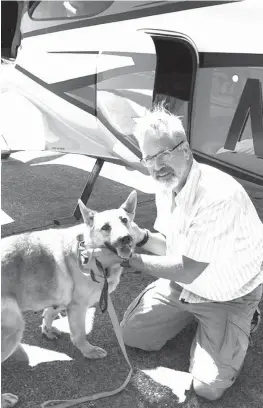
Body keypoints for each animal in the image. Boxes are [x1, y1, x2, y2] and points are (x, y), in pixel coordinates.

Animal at [1, 191, 140, 408]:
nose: (125, 239)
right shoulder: (78, 307)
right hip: (12, 326)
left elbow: (49, 312)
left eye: (125, 220)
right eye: (105, 227)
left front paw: (47, 330)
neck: (89, 252)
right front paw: (88, 351)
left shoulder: (60, 299)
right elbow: (79, 334)